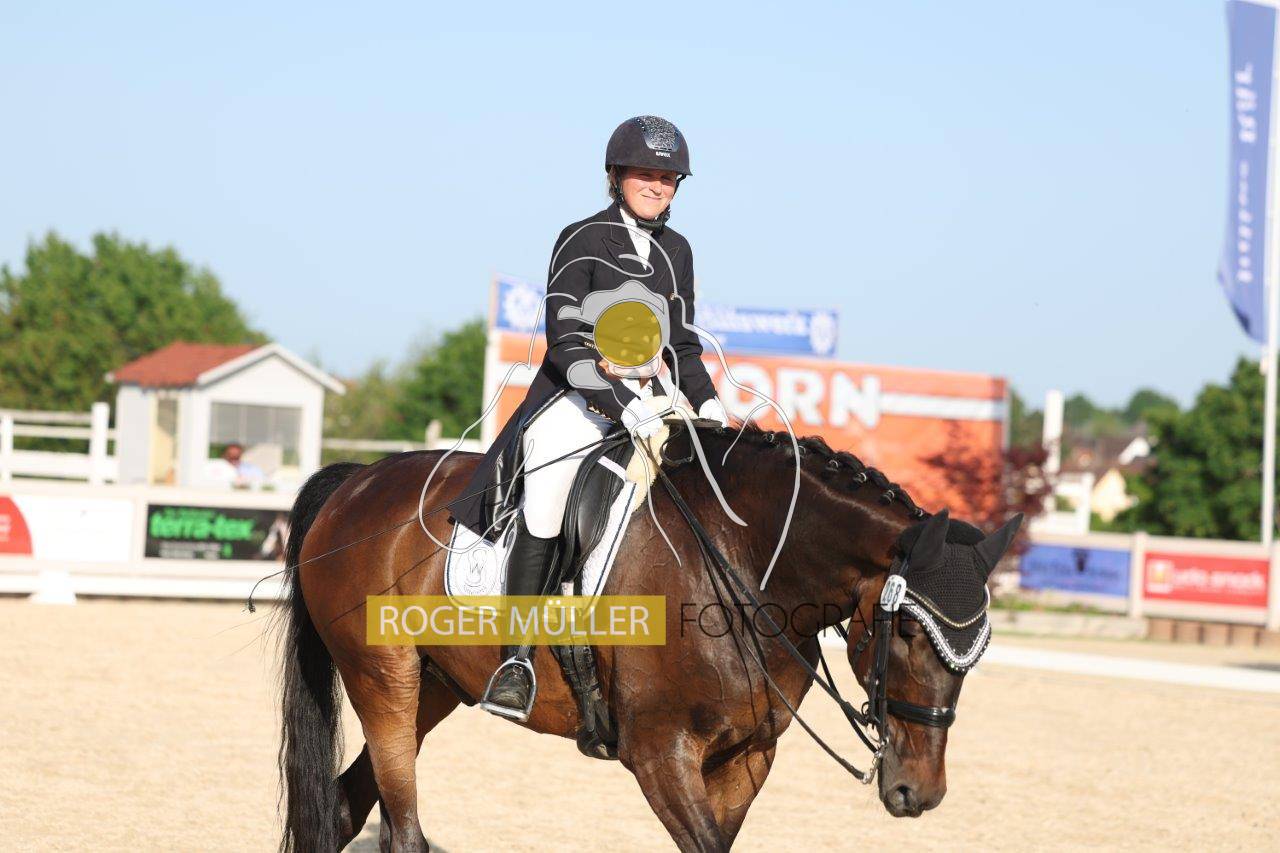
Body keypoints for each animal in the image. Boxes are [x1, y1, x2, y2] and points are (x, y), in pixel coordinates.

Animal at [275, 421, 1015, 852]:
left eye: (978, 647)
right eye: (910, 630)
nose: (919, 791)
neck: (741, 560)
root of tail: (359, 482)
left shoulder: (747, 756)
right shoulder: (661, 755)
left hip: (435, 687)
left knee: (341, 808)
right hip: (384, 681)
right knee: (401, 831)